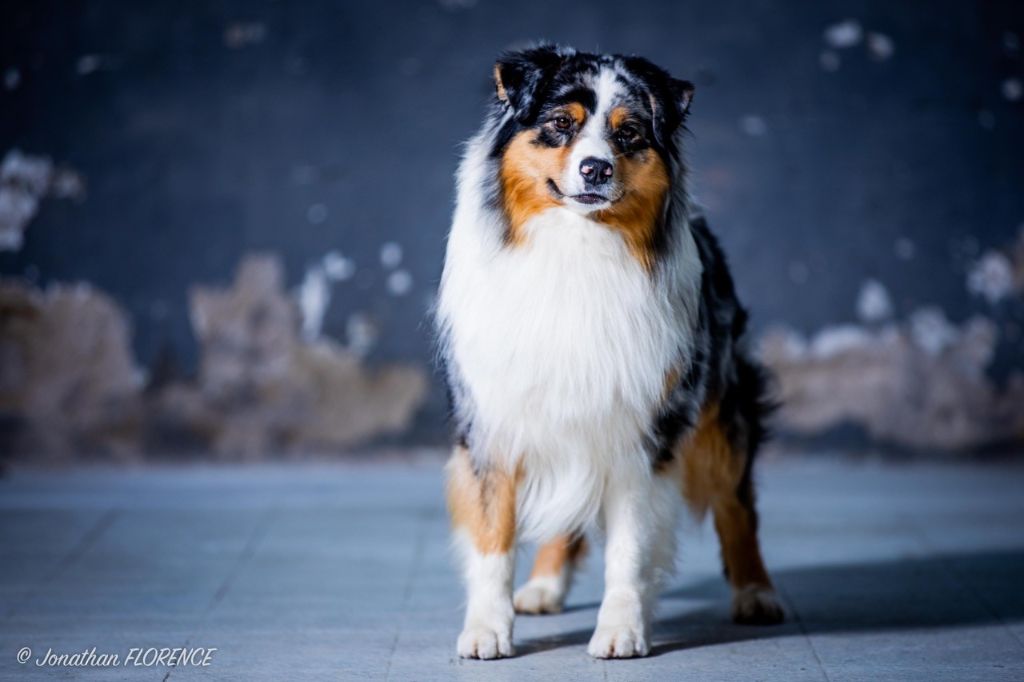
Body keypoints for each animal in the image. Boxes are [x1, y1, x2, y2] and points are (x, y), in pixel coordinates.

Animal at [434, 43, 782, 659]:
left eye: (629, 134)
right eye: (559, 124)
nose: (595, 168)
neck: (577, 246)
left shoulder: (644, 433)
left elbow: (631, 547)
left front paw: (621, 629)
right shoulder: (493, 424)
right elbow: (493, 536)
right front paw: (487, 629)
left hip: (722, 411)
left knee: (737, 504)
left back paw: (756, 594)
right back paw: (543, 587)